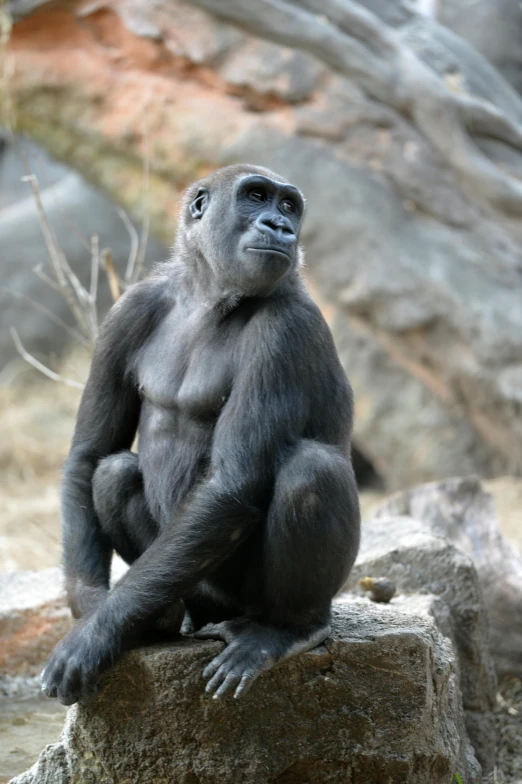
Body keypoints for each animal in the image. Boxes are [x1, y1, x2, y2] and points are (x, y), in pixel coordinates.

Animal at [40, 164, 360, 704]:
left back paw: (288, 628)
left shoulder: (287, 327)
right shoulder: (128, 309)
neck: (209, 297)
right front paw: (92, 609)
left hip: (252, 599)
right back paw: (166, 621)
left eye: (288, 206)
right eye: (256, 197)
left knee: (312, 471)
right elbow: (89, 455)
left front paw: (95, 634)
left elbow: (232, 483)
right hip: (198, 592)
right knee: (114, 473)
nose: (280, 226)